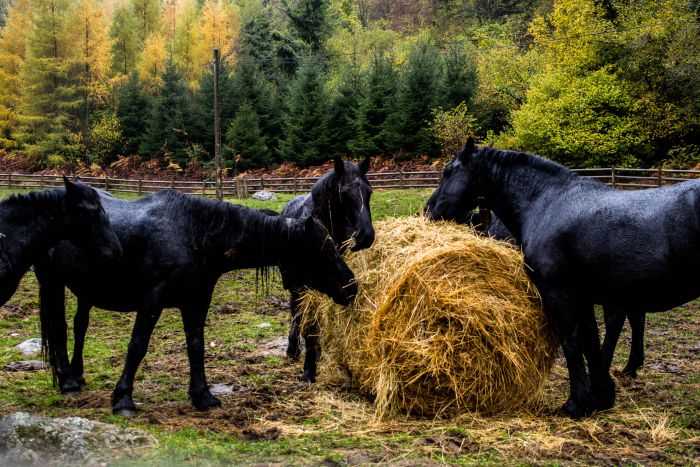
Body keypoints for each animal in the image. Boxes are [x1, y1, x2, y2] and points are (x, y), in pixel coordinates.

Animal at [37, 190, 356, 416]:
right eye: (321, 250)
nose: (351, 287)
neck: (193, 235)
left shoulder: (196, 302)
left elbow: (196, 347)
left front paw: (203, 396)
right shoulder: (151, 302)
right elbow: (137, 346)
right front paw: (124, 399)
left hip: (85, 292)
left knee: (80, 326)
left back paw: (77, 376)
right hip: (51, 283)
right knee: (59, 328)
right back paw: (68, 383)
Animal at [282, 159, 374, 382]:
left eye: (369, 192)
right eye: (343, 193)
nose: (366, 235)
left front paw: (315, 357)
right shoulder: (307, 287)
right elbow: (309, 326)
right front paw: (308, 370)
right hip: (295, 286)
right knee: (296, 313)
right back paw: (292, 349)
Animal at [424, 138, 700, 416]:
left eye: (448, 172)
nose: (428, 210)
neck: (546, 203)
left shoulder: (559, 294)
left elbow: (571, 341)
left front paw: (575, 403)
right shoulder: (583, 296)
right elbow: (590, 340)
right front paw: (600, 396)